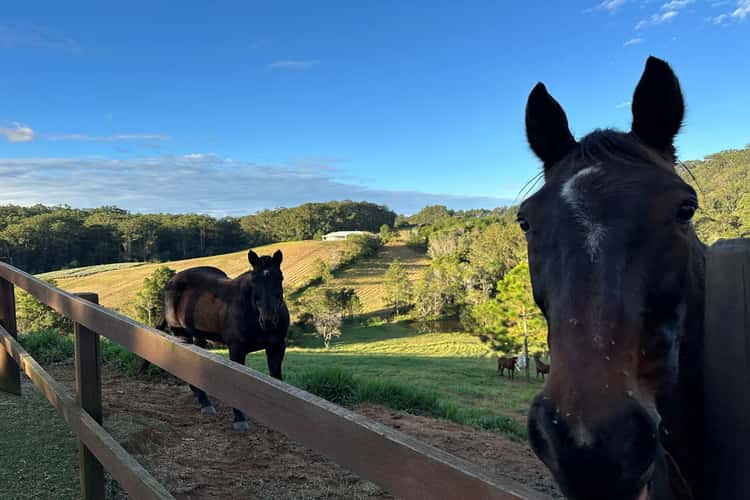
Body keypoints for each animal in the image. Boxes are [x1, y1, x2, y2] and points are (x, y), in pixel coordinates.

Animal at [156, 250, 290, 430]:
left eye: (279, 277)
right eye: (254, 280)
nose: (268, 320)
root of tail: (170, 282)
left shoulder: (276, 347)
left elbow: (276, 379)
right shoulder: (237, 350)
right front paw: (239, 419)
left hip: (199, 337)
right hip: (182, 335)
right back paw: (205, 403)